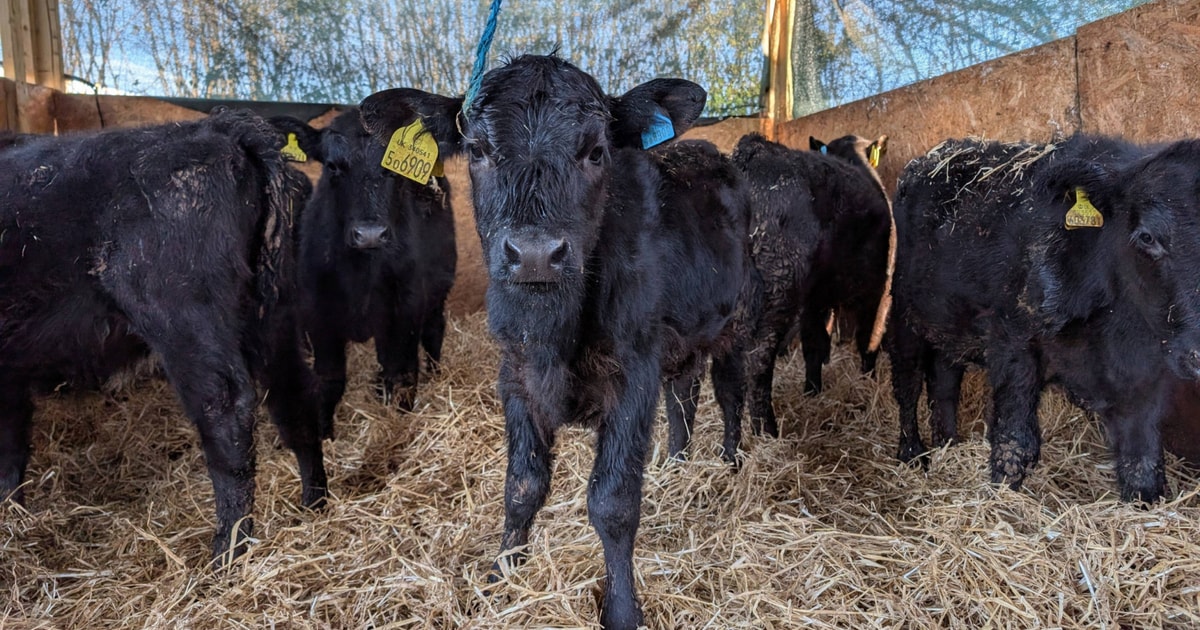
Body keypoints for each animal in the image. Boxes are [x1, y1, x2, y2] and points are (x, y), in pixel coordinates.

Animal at [0, 109, 329, 565]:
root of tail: (221, 128)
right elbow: (12, 449)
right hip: (274, 316)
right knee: (293, 397)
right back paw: (314, 504)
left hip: (184, 320)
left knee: (225, 409)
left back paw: (226, 551)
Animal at [270, 110, 457, 425]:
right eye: (332, 166)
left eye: (394, 167)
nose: (370, 234)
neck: (360, 278)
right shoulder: (319, 320)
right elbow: (330, 381)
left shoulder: (404, 314)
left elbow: (404, 374)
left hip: (437, 293)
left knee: (433, 333)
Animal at [360, 54, 737, 630]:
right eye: (478, 150)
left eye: (596, 151)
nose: (535, 254)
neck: (553, 336)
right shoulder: (515, 376)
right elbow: (522, 487)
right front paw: (500, 577)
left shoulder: (634, 373)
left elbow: (613, 503)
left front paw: (622, 609)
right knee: (684, 396)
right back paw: (676, 464)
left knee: (732, 392)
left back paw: (730, 462)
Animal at [728, 133, 892, 439]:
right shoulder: (872, 286)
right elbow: (867, 338)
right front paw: (867, 379)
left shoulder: (815, 299)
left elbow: (815, 344)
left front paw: (812, 390)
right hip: (777, 292)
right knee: (757, 360)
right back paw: (765, 429)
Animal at [888, 135, 1200, 503]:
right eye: (1148, 237)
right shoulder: (1013, 342)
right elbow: (1016, 440)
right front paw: (1003, 495)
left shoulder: (1146, 373)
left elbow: (1142, 460)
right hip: (903, 315)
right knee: (907, 385)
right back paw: (912, 454)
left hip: (950, 324)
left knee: (944, 381)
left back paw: (948, 444)